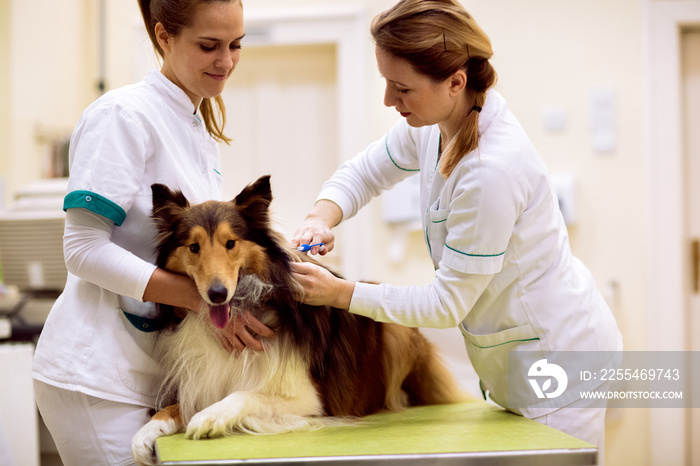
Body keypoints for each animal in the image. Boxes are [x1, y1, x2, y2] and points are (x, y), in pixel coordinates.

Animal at [131, 176, 464, 466]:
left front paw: (207, 417)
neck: (245, 306)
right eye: (194, 247)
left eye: (230, 243)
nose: (216, 294)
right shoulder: (203, 382)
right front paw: (145, 435)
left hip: (397, 331)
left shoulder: (309, 400)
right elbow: (173, 408)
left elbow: (242, 395)